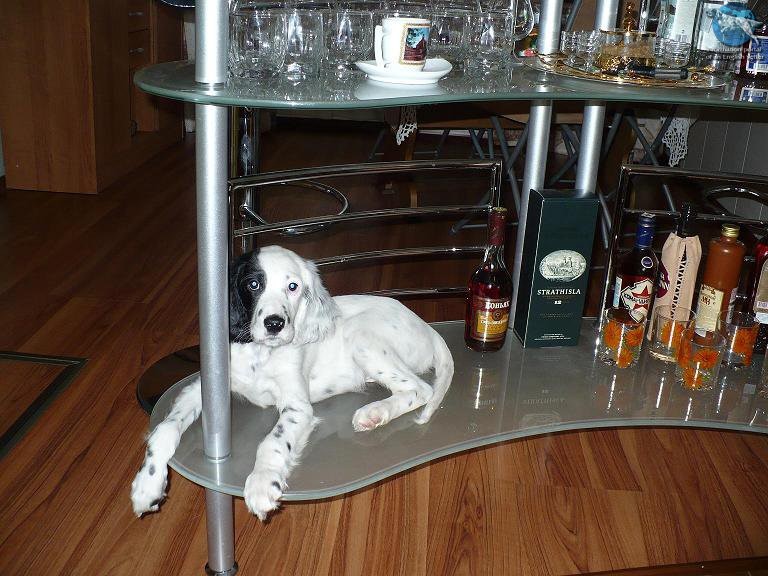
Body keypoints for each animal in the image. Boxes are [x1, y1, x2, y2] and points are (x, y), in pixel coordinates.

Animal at [131, 246, 454, 520]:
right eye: (253, 285)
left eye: (293, 287)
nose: (275, 324)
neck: (259, 354)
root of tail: (426, 326)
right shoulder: (201, 389)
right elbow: (165, 428)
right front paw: (147, 485)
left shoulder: (297, 407)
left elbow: (272, 441)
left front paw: (262, 483)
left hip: (362, 335)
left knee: (420, 389)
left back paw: (373, 413)